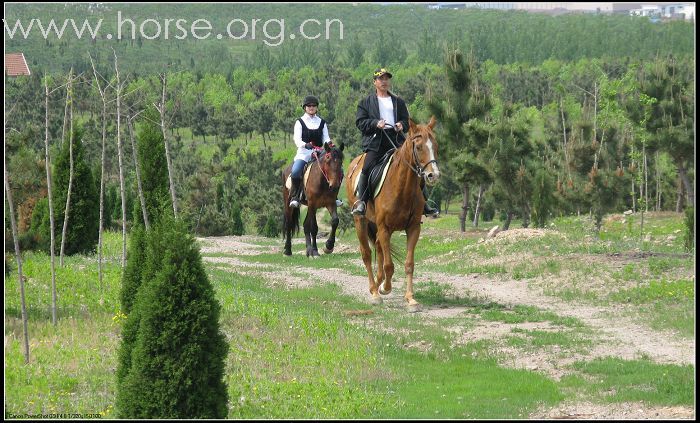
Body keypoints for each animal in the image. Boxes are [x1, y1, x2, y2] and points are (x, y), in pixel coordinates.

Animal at [344, 117, 438, 314]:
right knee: (367, 253)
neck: (401, 186)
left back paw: (378, 283)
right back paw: (375, 291)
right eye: (419, 147)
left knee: (379, 248)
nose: (433, 175)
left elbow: (409, 264)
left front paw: (411, 299)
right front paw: (385, 289)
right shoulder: (385, 228)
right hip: (361, 221)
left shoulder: (413, 228)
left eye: (435, 145)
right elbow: (389, 265)